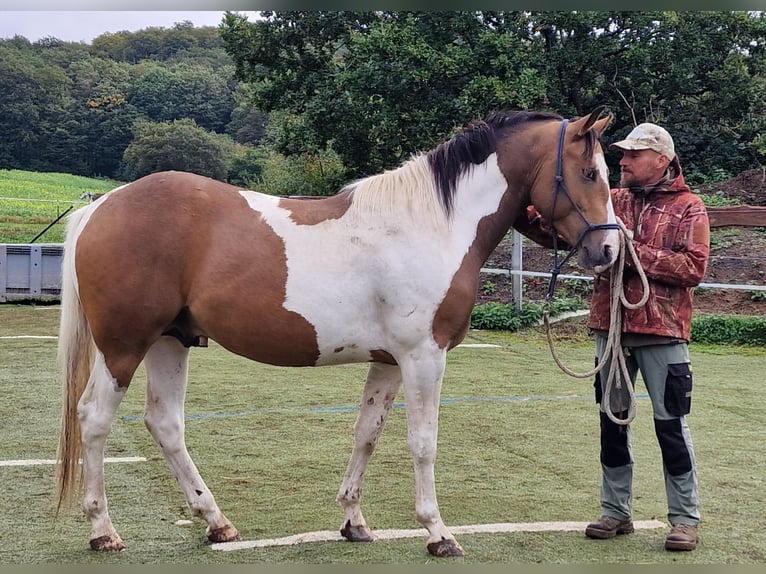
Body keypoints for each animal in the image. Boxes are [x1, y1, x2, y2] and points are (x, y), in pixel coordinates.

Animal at [57, 108, 624, 560]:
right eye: (590, 172)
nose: (609, 252)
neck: (431, 225)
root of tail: (99, 206)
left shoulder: (389, 361)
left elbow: (367, 433)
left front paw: (354, 520)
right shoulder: (424, 357)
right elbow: (423, 442)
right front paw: (438, 532)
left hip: (170, 341)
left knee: (165, 423)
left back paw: (217, 524)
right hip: (124, 346)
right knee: (95, 419)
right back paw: (103, 530)